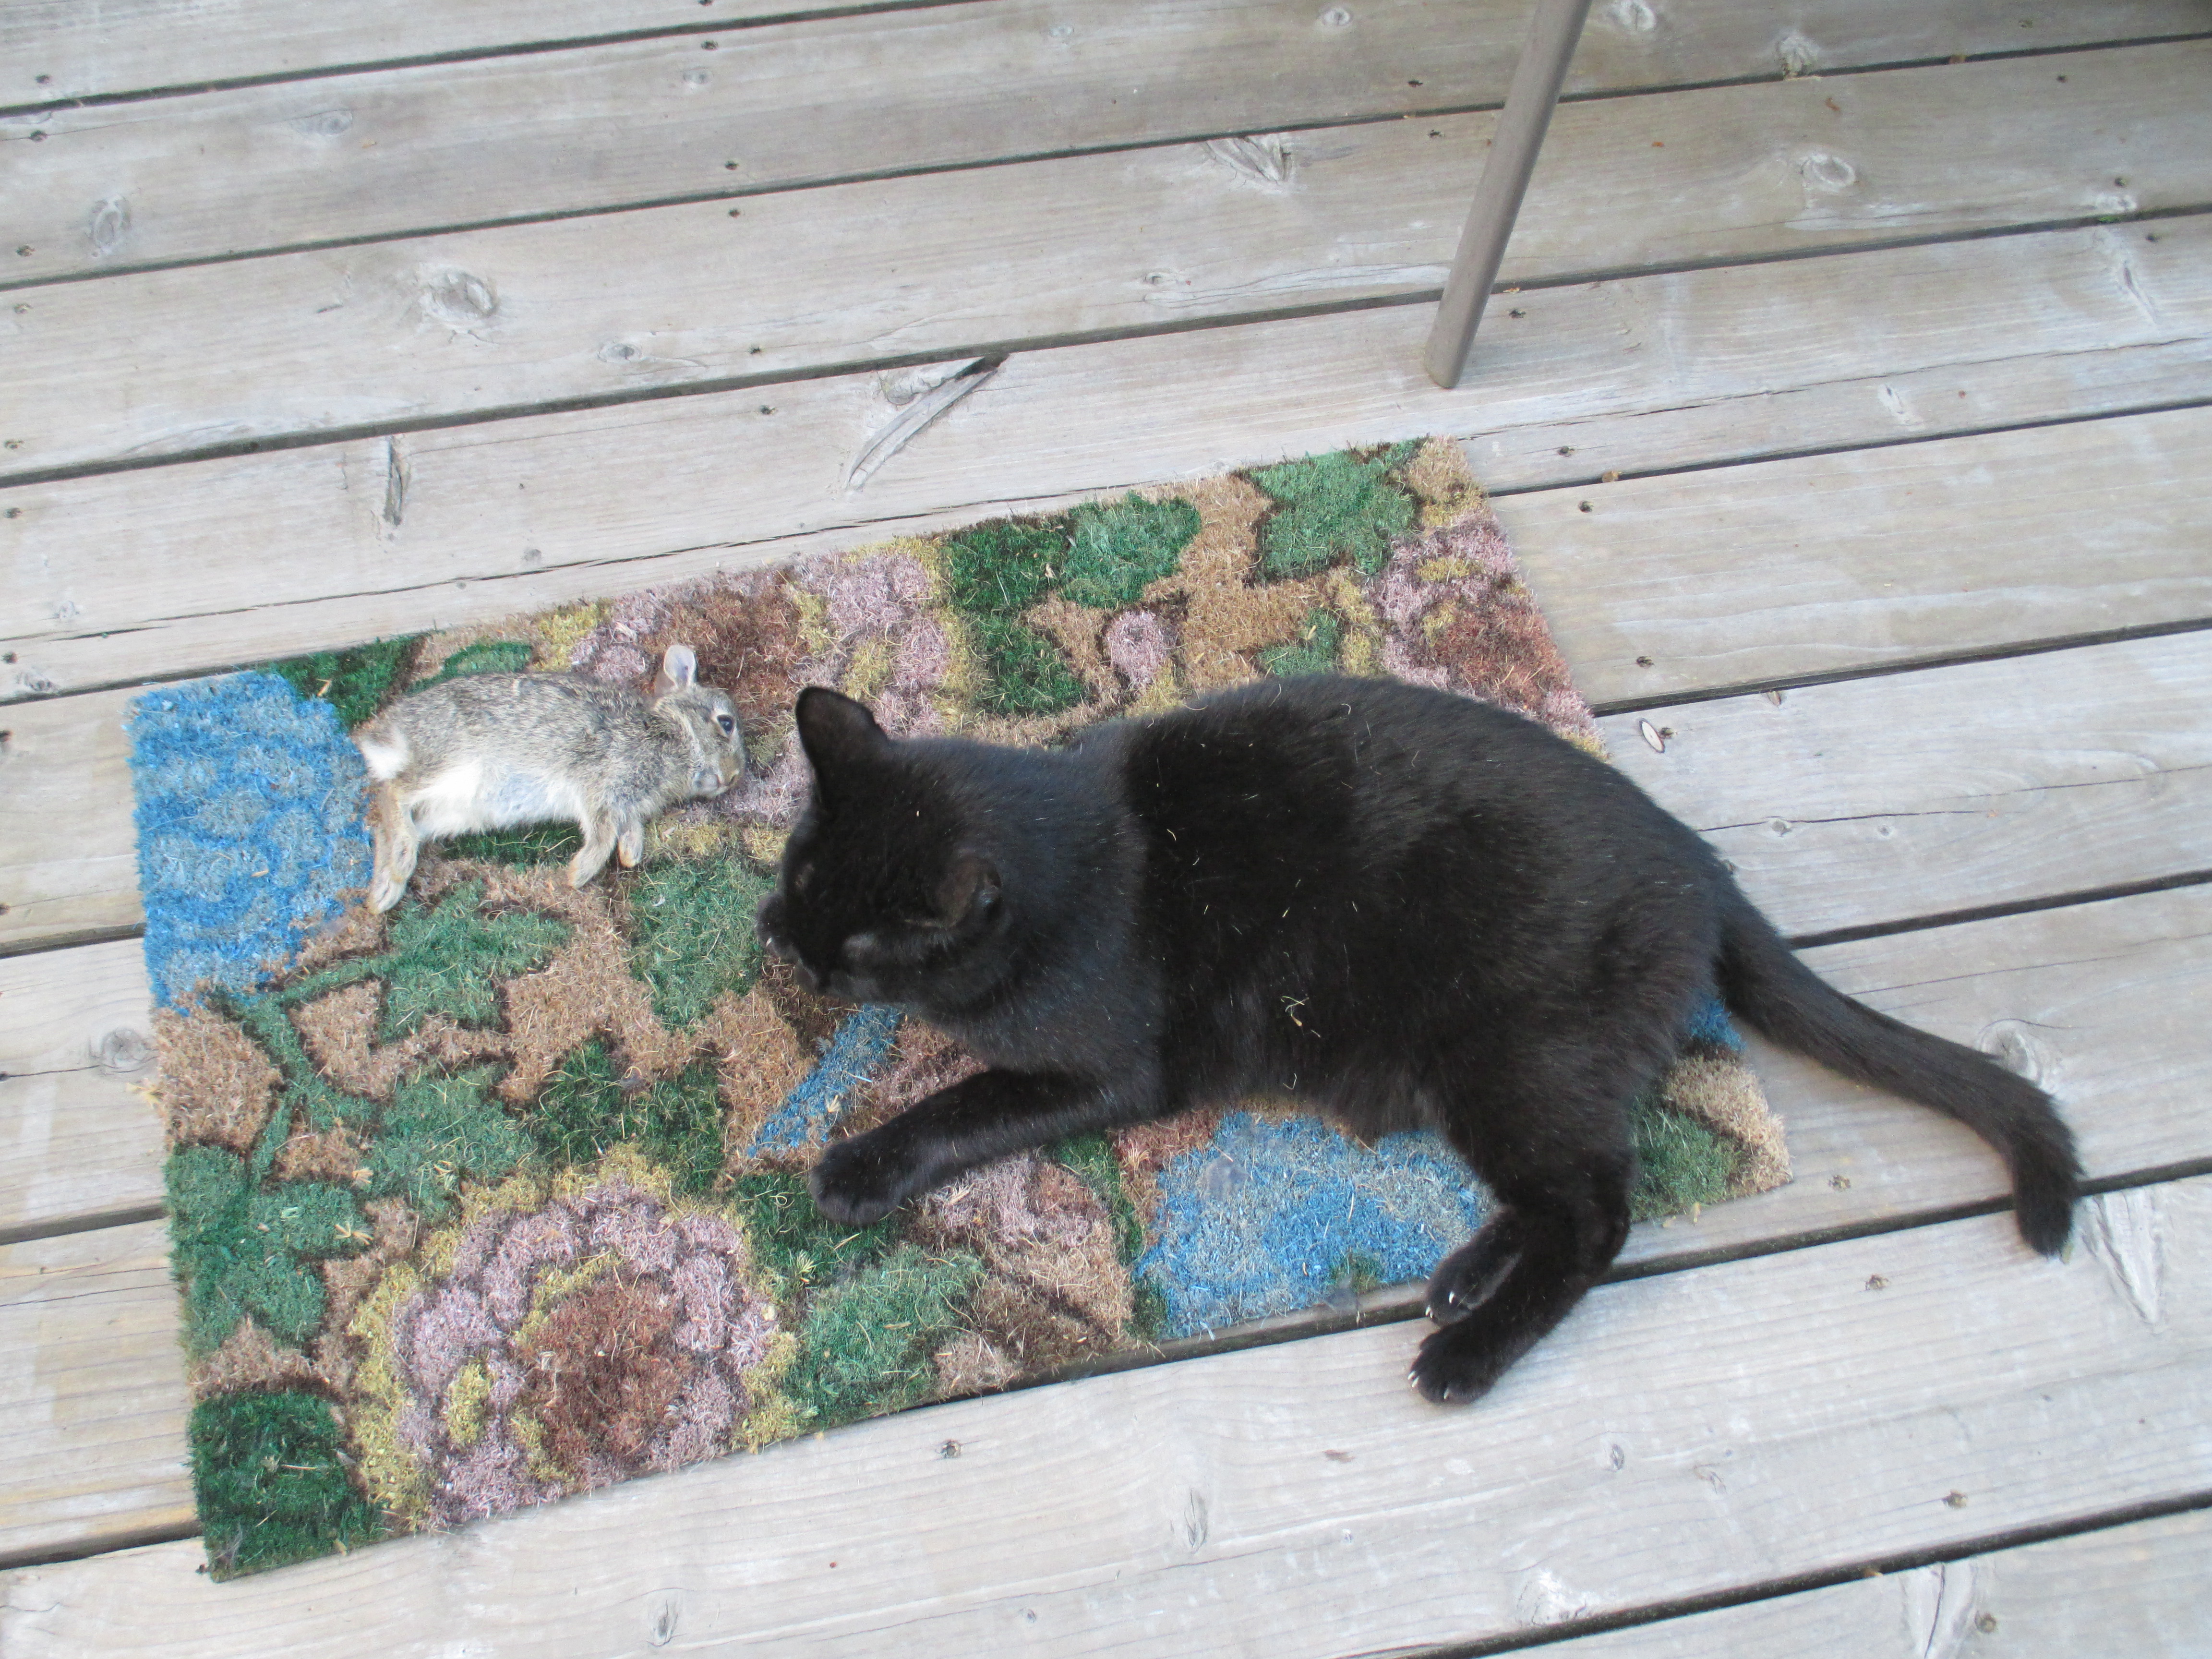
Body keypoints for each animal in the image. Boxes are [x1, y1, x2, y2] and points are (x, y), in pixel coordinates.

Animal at [352, 643, 746, 910]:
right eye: (726, 723)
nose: (734, 777)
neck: (671, 732)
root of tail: (393, 738)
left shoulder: (624, 802)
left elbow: (627, 828)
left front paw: (630, 855)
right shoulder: (600, 783)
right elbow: (602, 834)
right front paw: (576, 876)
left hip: (448, 814)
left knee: (383, 824)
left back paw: (383, 892)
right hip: (454, 764)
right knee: (393, 791)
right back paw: (400, 866)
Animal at [756, 675, 2081, 1403]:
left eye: (865, 945)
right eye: (800, 870)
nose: (788, 944)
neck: (1075, 839)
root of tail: (1701, 865)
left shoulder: (1113, 1067)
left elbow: (963, 1098)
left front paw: (858, 1165)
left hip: (1509, 1058)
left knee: (1600, 1211)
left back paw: (1467, 1354)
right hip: (1495, 1082)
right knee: (1567, 1190)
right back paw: (1455, 1282)